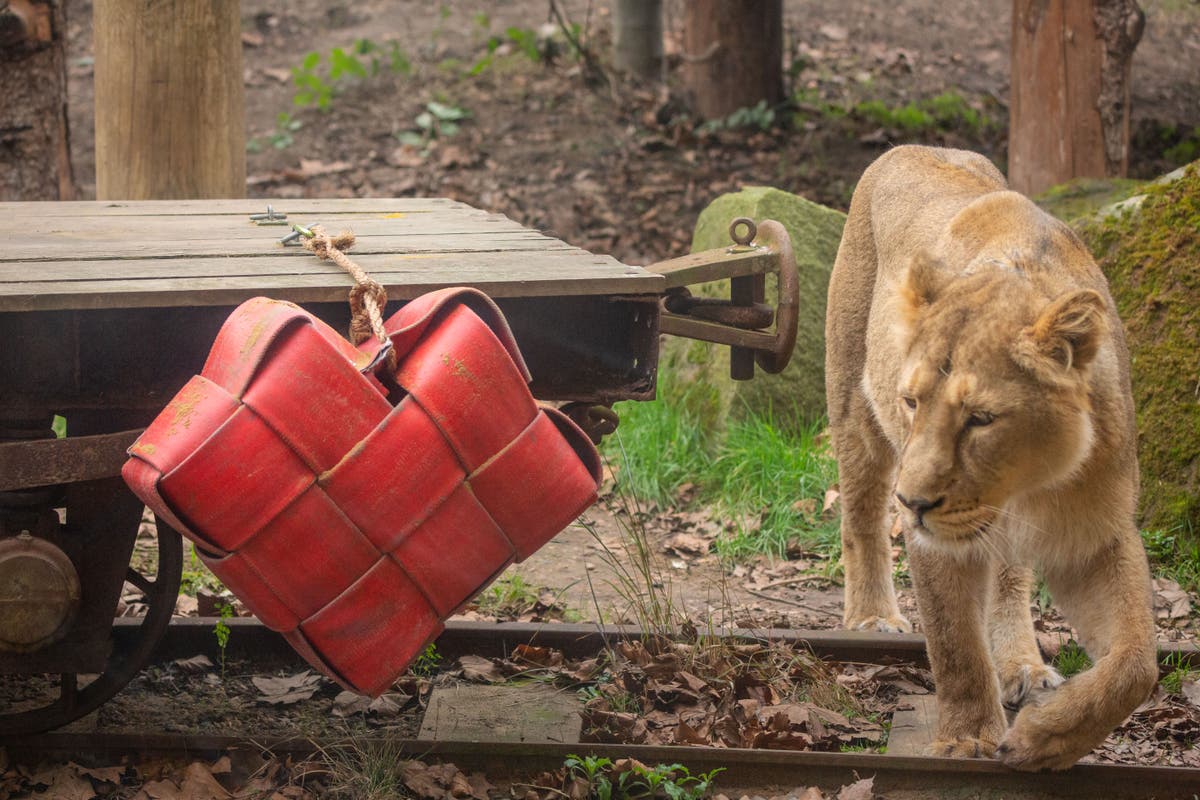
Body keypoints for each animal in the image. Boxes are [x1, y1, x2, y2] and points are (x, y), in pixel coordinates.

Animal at [824, 145, 1157, 770]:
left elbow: (1136, 665)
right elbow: (954, 643)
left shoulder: (1096, 537)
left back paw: (1021, 664)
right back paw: (873, 615)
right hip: (853, 403)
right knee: (859, 513)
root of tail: (909, 147)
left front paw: (1044, 739)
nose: (914, 501)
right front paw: (968, 738)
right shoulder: (934, 539)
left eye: (980, 418)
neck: (1028, 485)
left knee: (1008, 580)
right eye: (912, 402)